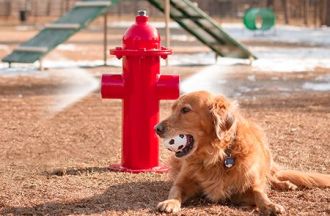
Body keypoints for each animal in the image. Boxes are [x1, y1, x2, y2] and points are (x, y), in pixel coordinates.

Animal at [155, 91, 330, 216]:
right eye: (172, 109)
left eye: (185, 110)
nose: (156, 128)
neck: (216, 155)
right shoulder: (183, 181)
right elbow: (176, 190)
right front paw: (169, 202)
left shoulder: (246, 186)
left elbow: (259, 192)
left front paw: (269, 205)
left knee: (270, 177)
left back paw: (285, 184)